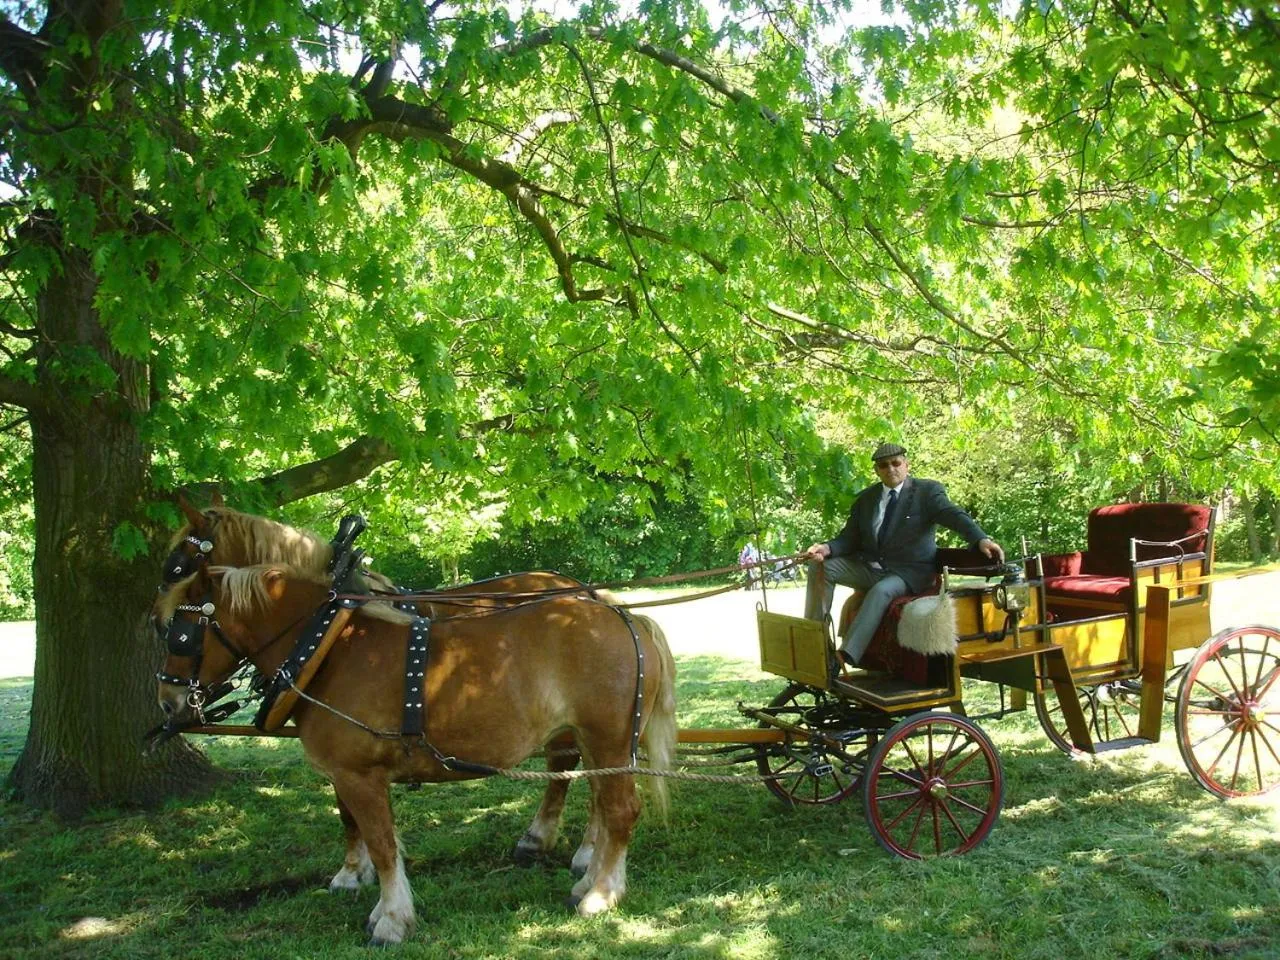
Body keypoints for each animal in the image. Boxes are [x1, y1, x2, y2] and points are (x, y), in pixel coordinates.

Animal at [154, 562, 677, 944]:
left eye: (179, 632)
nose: (168, 702)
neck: (328, 648)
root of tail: (625, 616)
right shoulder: (348, 775)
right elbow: (366, 835)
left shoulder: (358, 775)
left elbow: (383, 845)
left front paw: (391, 919)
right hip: (600, 744)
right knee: (603, 805)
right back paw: (588, 880)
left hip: (606, 737)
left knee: (620, 811)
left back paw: (601, 894)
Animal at [161, 496, 602, 870]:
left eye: (177, 566)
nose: (156, 615)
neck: (329, 622)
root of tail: (583, 590)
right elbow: (346, 806)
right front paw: (360, 867)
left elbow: (347, 804)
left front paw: (354, 870)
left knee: (571, 763)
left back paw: (559, 844)